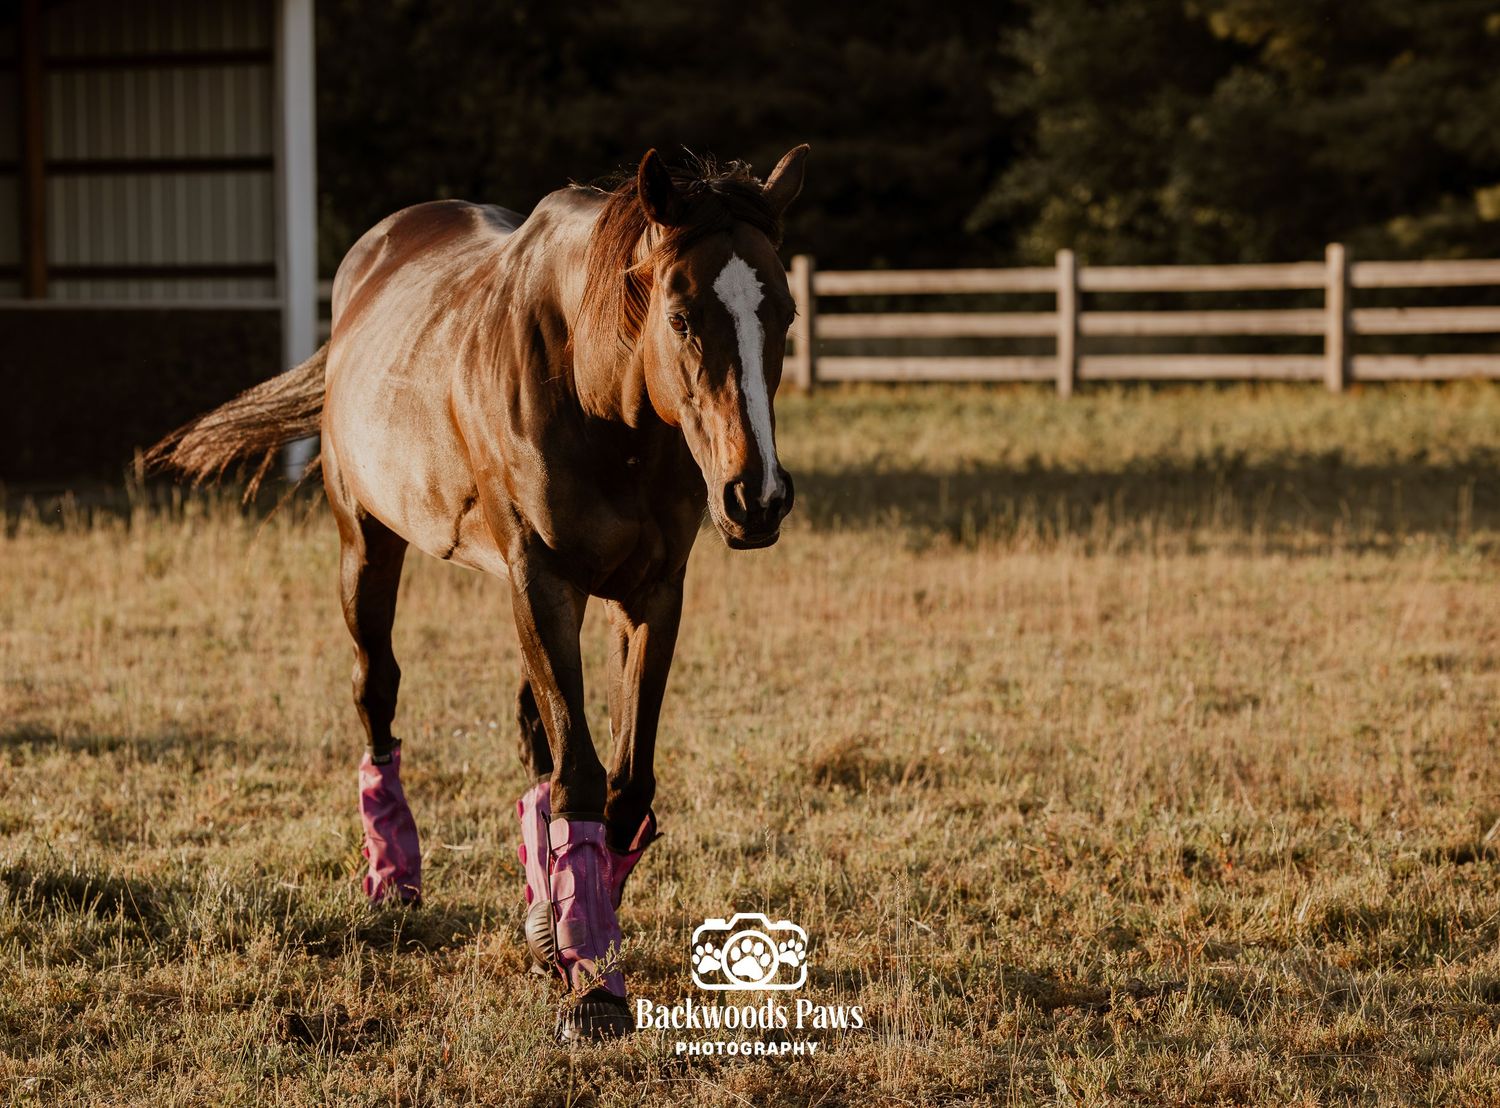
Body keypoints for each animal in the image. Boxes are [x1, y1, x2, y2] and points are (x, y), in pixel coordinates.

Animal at [147, 145, 809, 1041]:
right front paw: (593, 985)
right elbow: (580, 775)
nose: (757, 497)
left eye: (785, 315)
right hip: (367, 544)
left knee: (533, 731)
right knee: (378, 689)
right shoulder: (541, 580)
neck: (599, 397)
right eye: (678, 316)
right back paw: (392, 875)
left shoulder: (650, 595)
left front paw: (564, 936)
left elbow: (623, 786)